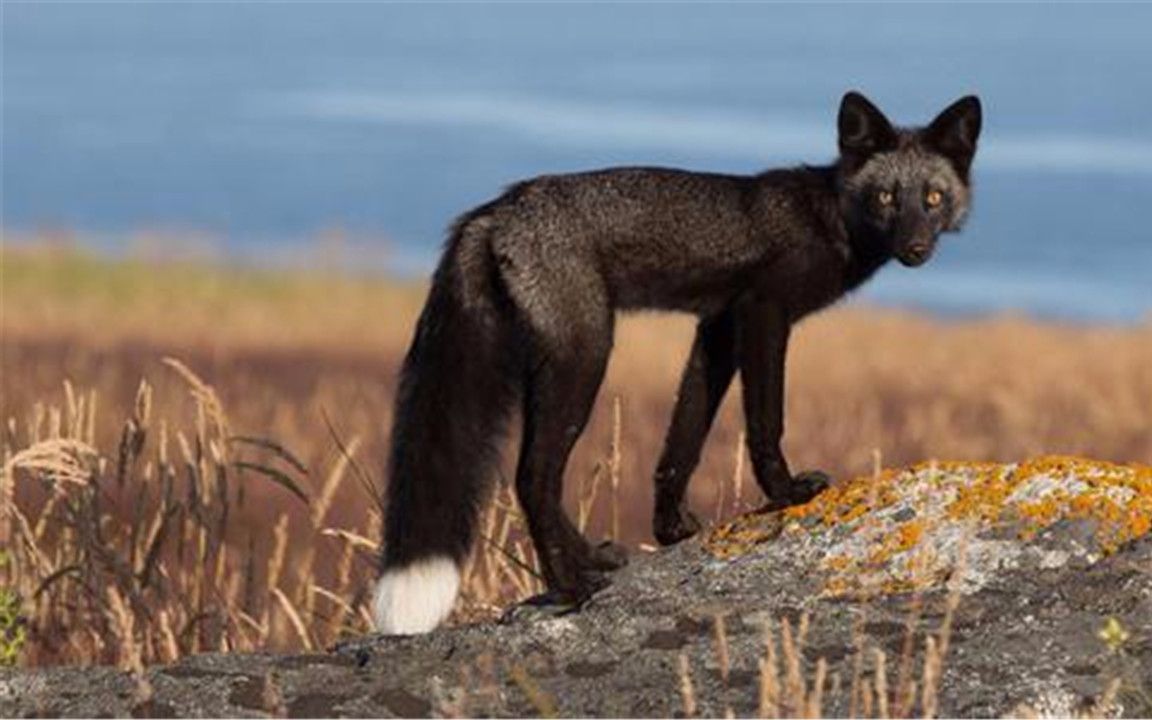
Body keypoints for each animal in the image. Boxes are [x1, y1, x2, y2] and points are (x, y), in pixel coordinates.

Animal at [375, 91, 981, 635]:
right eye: (885, 198)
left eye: (932, 197)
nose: (916, 248)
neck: (827, 218)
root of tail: (494, 209)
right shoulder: (763, 311)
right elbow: (765, 421)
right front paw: (785, 493)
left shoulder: (716, 327)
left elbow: (682, 438)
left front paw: (670, 529)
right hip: (585, 356)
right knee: (533, 477)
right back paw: (572, 589)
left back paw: (591, 562)